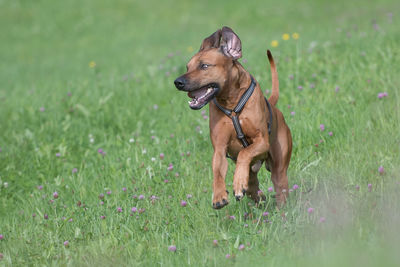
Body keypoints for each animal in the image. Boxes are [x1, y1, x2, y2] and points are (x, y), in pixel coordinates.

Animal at [173, 27, 292, 210]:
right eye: (187, 67)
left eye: (204, 66)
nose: (177, 82)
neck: (232, 103)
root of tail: (274, 107)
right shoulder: (220, 147)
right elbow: (217, 170)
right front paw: (219, 196)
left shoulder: (261, 141)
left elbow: (244, 152)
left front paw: (237, 182)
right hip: (253, 176)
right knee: (254, 189)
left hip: (279, 168)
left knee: (279, 186)